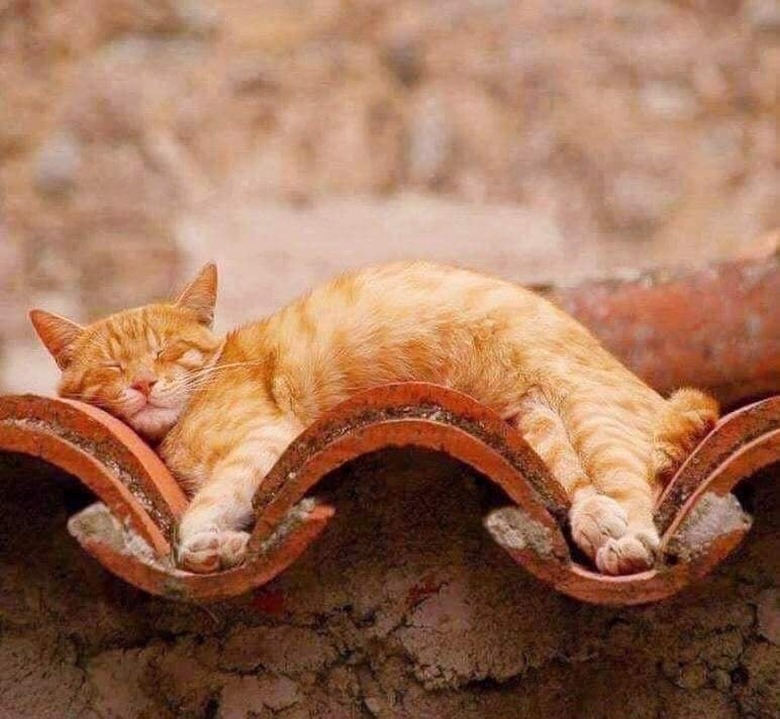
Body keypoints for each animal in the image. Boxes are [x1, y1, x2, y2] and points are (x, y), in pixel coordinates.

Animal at [30, 262, 716, 576]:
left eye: (167, 352)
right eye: (114, 367)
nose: (144, 383)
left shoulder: (265, 441)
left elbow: (198, 515)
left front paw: (205, 542)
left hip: (594, 417)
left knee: (637, 502)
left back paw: (625, 543)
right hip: (538, 428)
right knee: (581, 492)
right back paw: (598, 527)